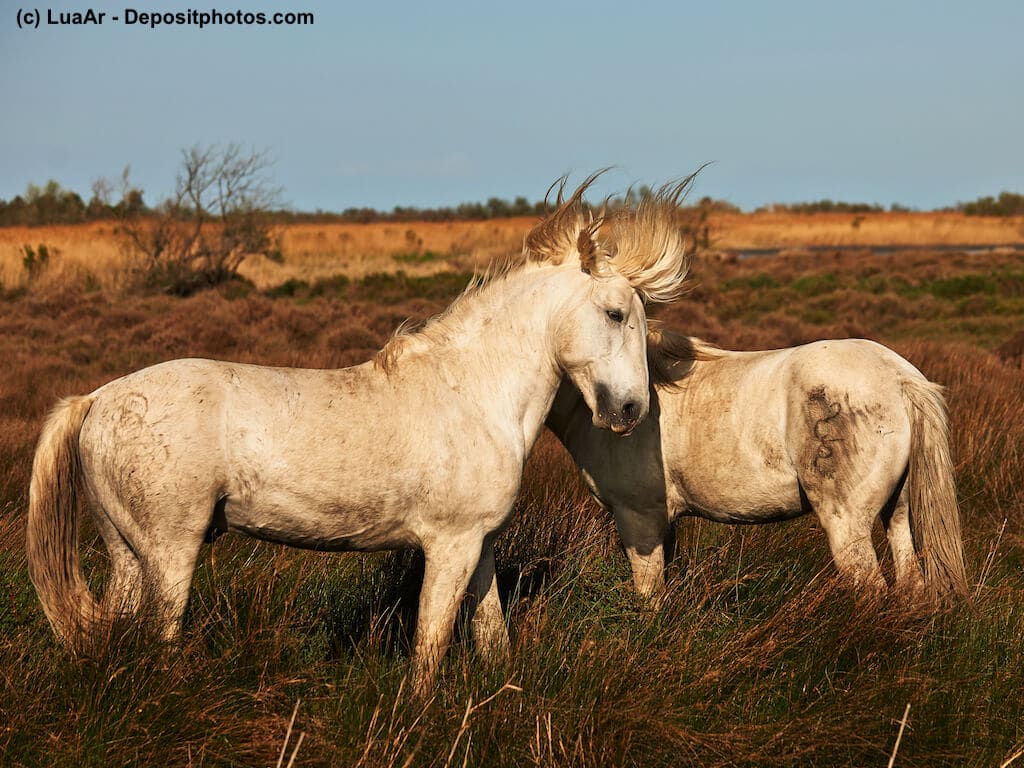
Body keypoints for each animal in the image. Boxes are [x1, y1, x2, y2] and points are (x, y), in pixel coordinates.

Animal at [26, 177, 690, 693]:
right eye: (615, 314)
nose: (630, 409)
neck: (474, 394)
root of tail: (95, 400)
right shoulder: (448, 547)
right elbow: (430, 646)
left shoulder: (478, 547)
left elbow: (491, 634)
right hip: (169, 552)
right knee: (159, 639)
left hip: (126, 555)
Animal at [546, 329, 969, 605]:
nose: (622, 416)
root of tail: (900, 378)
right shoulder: (665, 522)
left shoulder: (639, 519)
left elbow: (650, 597)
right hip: (897, 510)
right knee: (911, 582)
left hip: (847, 524)